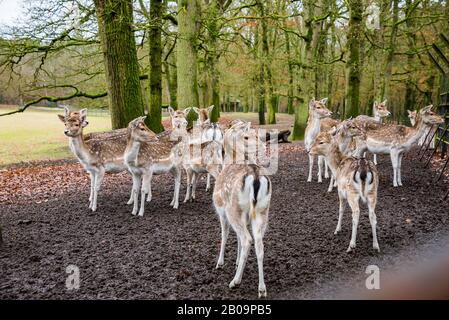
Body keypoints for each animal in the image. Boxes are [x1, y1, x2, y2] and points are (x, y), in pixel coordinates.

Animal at [213, 120, 272, 298]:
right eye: (247, 136)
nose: (264, 149)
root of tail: (256, 178)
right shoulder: (246, 218)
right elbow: (237, 238)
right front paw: (237, 261)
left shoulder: (221, 211)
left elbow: (224, 234)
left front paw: (220, 263)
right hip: (262, 212)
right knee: (259, 244)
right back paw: (262, 288)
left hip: (234, 210)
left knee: (247, 240)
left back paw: (235, 281)